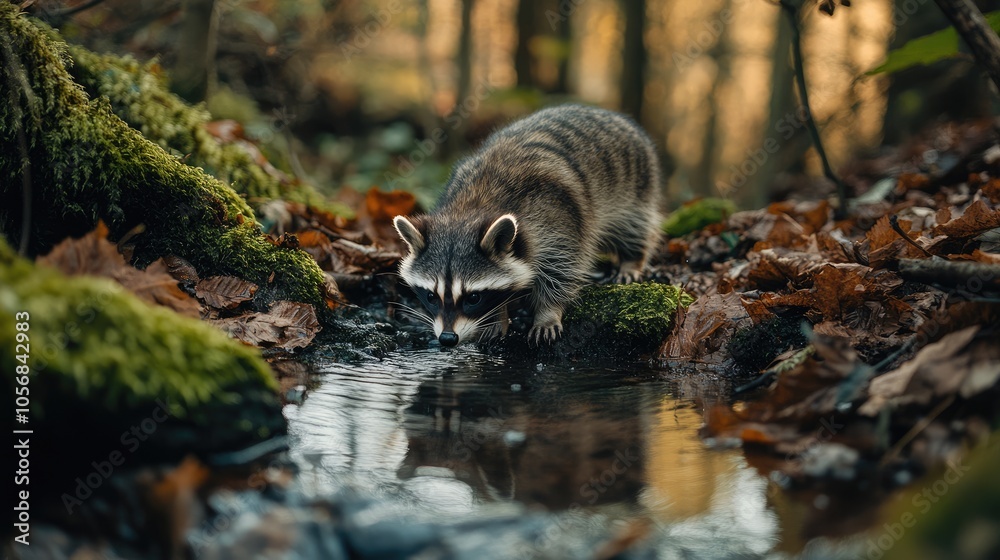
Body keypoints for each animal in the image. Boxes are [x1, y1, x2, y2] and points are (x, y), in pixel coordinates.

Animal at [393, 104, 662, 347]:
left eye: (473, 297)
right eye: (431, 296)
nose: (448, 339)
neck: (471, 206)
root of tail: (604, 112)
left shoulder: (558, 222)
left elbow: (561, 272)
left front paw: (547, 313)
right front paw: (496, 316)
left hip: (633, 187)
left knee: (633, 227)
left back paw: (632, 259)